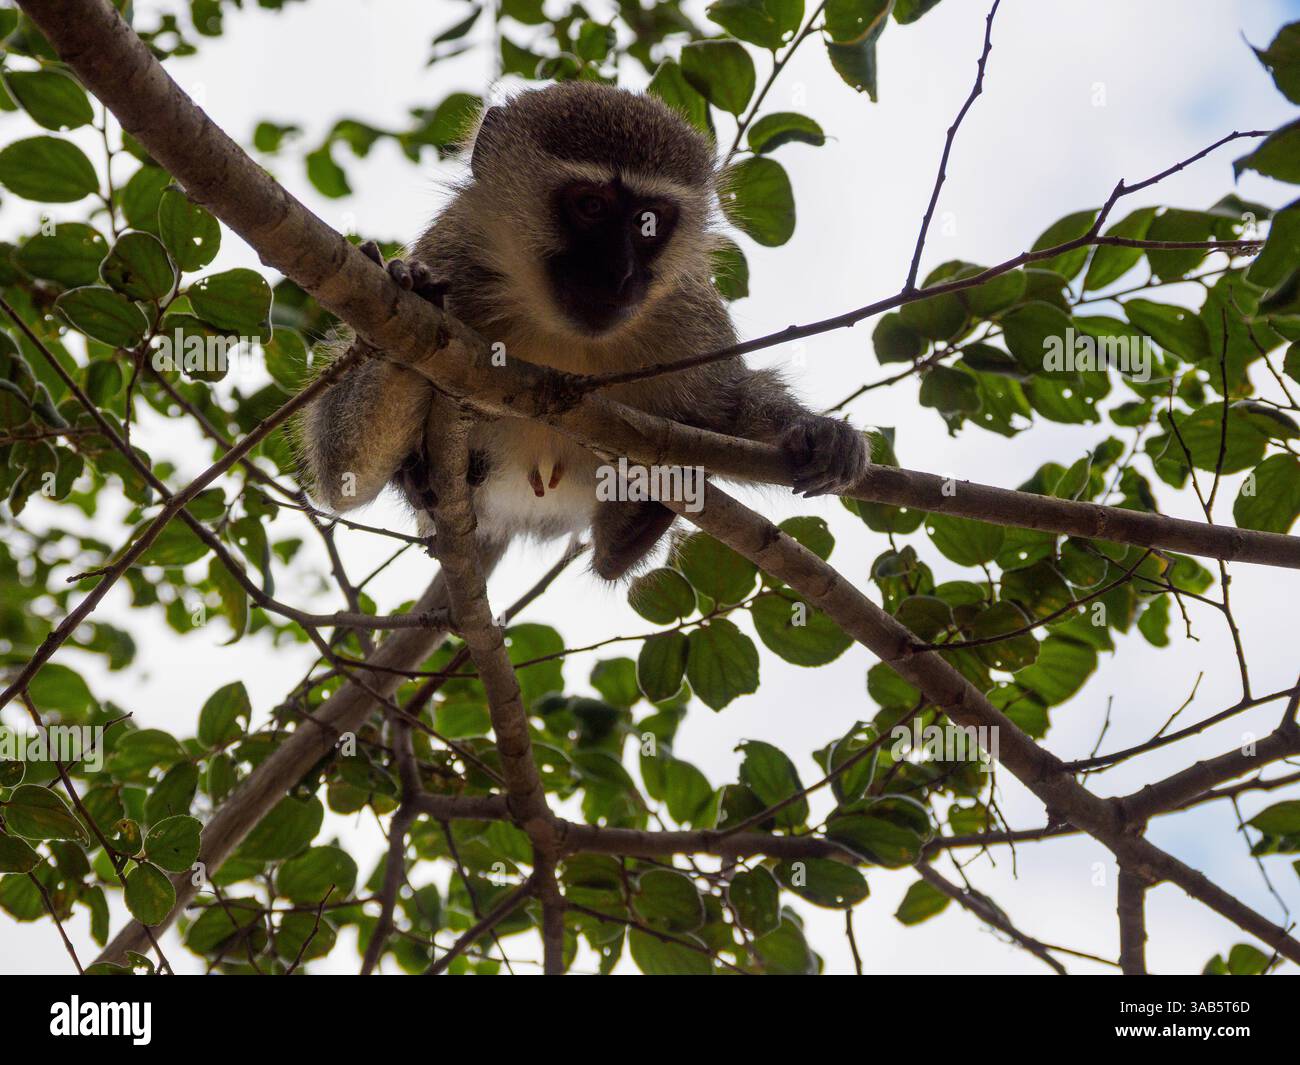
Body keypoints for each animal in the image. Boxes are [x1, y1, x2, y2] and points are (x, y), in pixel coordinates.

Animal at [298, 81, 868, 581]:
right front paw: (410, 295)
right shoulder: (452, 253)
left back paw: (634, 527)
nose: (617, 272)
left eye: (647, 221)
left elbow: (728, 405)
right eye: (591, 206)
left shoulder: (694, 319)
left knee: (609, 563)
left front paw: (815, 432)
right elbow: (343, 472)